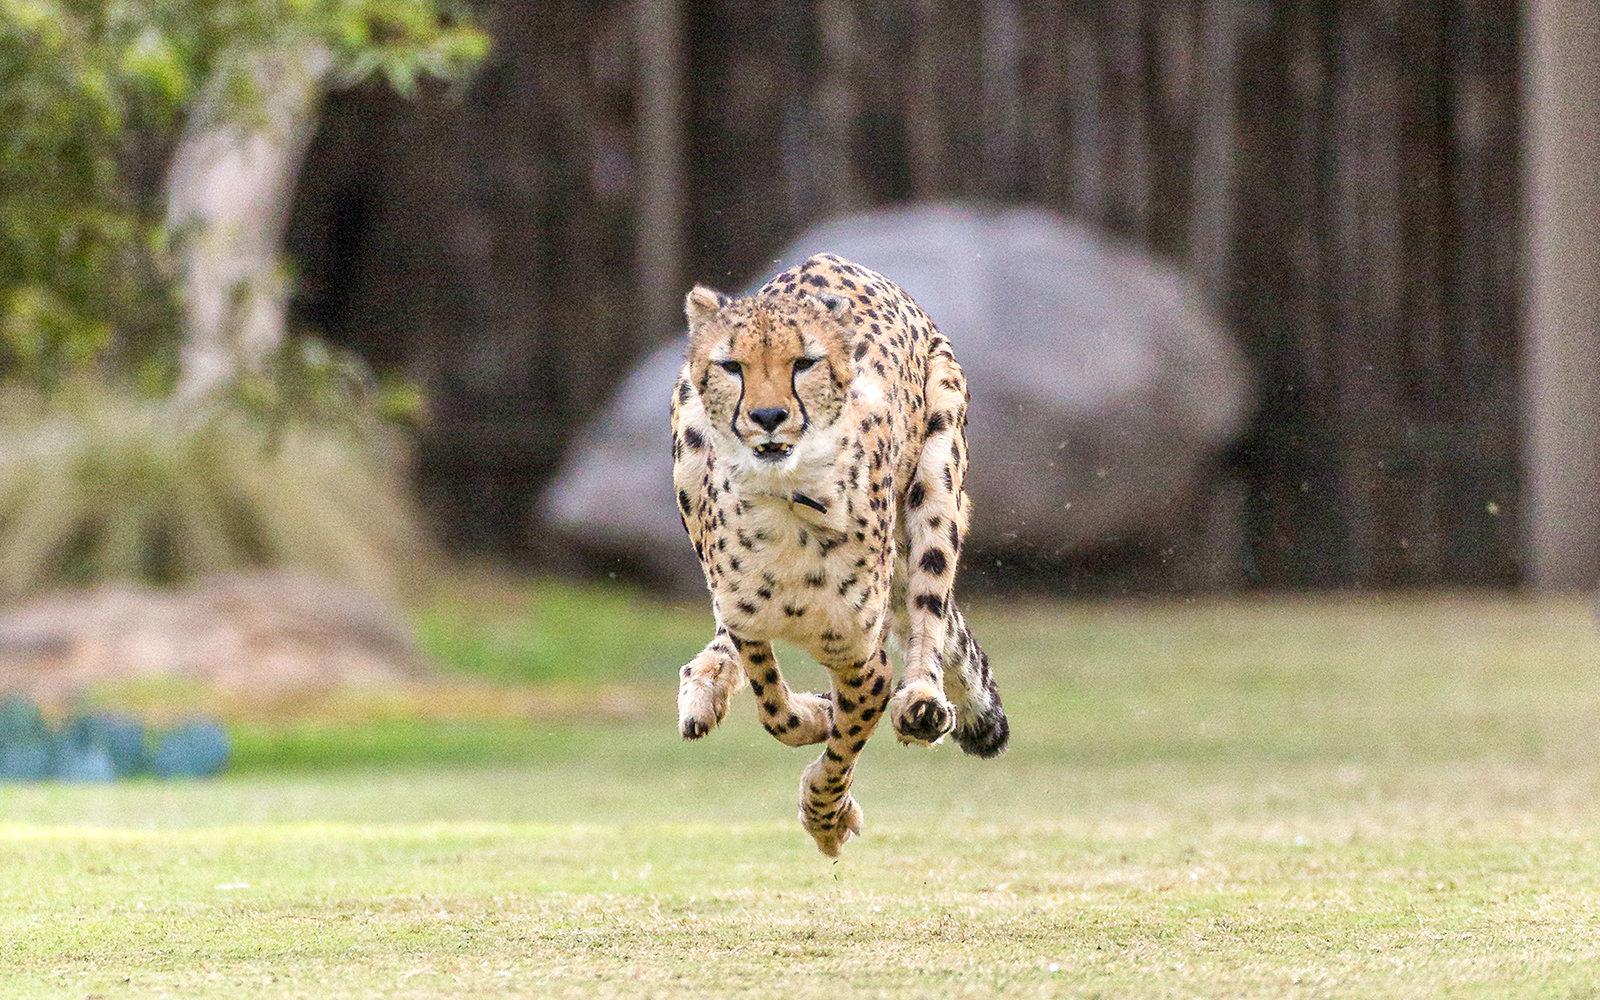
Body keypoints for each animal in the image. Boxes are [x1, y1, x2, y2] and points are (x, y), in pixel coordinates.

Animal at [669, 253, 1008, 857]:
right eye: (732, 366)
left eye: (804, 363)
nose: (768, 416)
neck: (787, 501)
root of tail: (830, 259)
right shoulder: (749, 623)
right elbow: (775, 709)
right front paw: (812, 715)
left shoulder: (864, 660)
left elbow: (843, 745)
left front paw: (825, 817)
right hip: (687, 448)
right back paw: (704, 683)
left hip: (938, 469)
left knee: (928, 605)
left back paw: (922, 700)